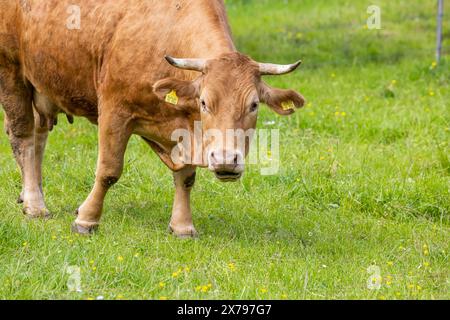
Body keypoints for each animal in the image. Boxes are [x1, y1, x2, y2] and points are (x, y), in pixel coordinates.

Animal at [0, 0, 306, 238]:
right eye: (205, 102)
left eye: (254, 105)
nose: (225, 160)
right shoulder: (114, 110)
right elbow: (108, 171)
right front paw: (87, 218)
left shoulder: (186, 128)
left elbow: (186, 177)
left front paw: (182, 225)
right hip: (12, 73)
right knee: (24, 137)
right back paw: (36, 205)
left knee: (38, 140)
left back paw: (29, 194)